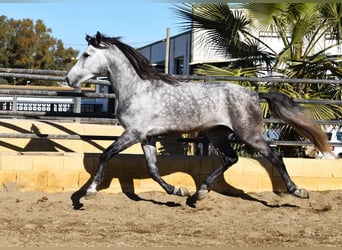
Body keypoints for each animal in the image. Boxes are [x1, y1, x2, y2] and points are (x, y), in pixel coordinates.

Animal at [66, 31, 334, 203]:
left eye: (87, 55)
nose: (69, 79)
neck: (137, 89)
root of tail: (254, 94)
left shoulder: (133, 133)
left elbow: (106, 154)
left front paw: (89, 192)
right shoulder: (146, 137)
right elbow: (152, 169)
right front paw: (178, 191)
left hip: (249, 134)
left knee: (275, 157)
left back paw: (297, 191)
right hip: (217, 134)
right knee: (231, 158)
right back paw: (199, 193)